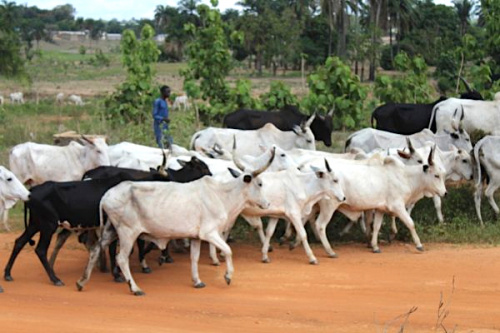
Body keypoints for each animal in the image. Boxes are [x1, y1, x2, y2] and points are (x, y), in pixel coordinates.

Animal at [3, 156, 211, 286]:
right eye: (201, 166)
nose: (211, 175)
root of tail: (31, 192)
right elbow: (122, 249)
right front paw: (120, 272)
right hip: (47, 225)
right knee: (40, 249)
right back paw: (55, 278)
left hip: (35, 224)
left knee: (20, 242)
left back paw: (8, 273)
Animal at [76, 150, 276, 294]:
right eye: (259, 184)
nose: (267, 204)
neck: (222, 195)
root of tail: (107, 195)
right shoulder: (210, 233)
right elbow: (228, 251)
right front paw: (227, 276)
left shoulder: (196, 237)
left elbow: (194, 258)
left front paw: (197, 281)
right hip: (127, 232)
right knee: (121, 258)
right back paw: (134, 288)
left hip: (111, 230)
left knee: (95, 250)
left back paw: (82, 282)